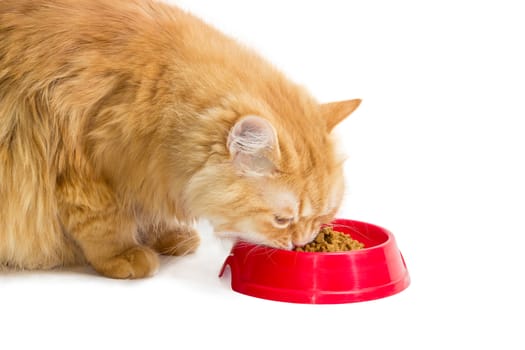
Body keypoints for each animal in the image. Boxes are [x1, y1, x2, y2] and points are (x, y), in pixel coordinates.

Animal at [0, 0, 360, 278]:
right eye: (282, 220)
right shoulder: (83, 162)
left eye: (323, 217)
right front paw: (124, 254)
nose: (301, 243)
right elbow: (102, 222)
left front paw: (167, 237)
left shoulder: (145, 174)